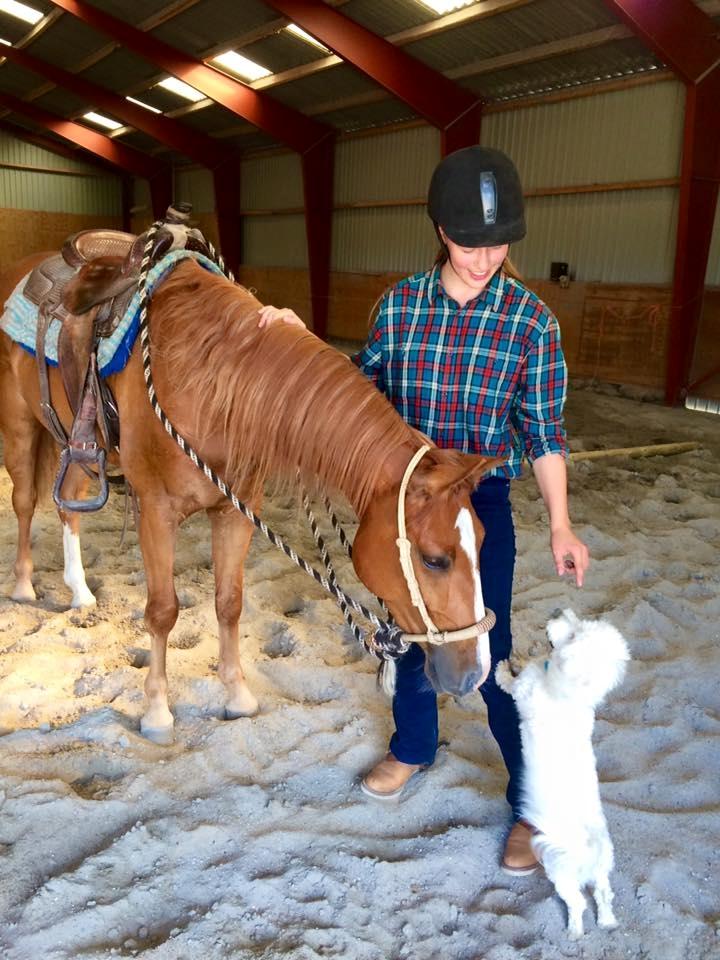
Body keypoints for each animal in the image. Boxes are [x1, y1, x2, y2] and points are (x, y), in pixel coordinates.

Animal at [0, 251, 500, 740]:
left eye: (481, 541)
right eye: (435, 560)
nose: (475, 673)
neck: (208, 380)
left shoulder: (236, 512)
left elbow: (229, 602)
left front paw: (237, 696)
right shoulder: (156, 512)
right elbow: (162, 610)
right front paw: (157, 712)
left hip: (78, 446)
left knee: (69, 502)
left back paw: (80, 591)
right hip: (21, 427)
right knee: (25, 502)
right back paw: (23, 584)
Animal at [498, 608, 628, 936]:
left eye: (572, 635)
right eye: (579, 624)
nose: (558, 611)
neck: (571, 695)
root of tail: (591, 850)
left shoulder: (525, 691)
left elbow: (511, 684)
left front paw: (502, 669)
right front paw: (517, 658)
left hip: (562, 873)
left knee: (578, 903)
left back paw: (574, 931)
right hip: (603, 872)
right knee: (604, 895)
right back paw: (606, 922)